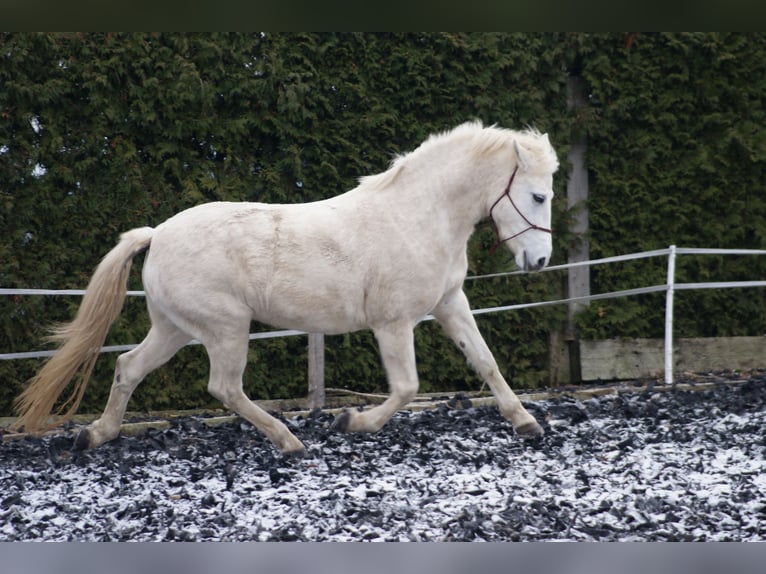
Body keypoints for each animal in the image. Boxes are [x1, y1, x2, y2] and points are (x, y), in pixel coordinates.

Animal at [15, 121, 560, 454]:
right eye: (538, 195)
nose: (539, 260)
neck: (417, 216)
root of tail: (159, 233)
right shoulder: (393, 323)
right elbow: (406, 387)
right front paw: (350, 422)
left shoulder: (449, 304)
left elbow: (486, 361)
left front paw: (527, 424)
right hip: (226, 328)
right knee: (224, 387)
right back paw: (289, 442)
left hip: (174, 329)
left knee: (129, 367)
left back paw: (95, 435)